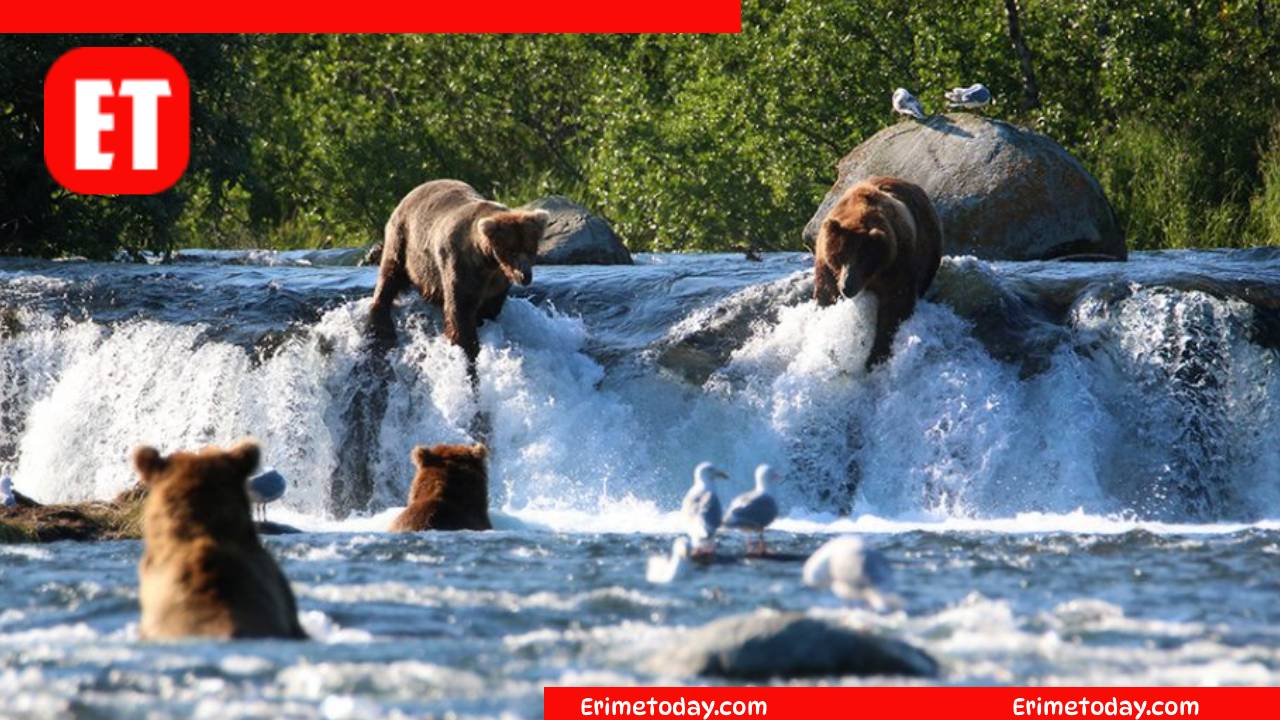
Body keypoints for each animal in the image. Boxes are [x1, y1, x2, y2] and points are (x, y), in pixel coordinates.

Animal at [370, 179, 548, 369]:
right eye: (511, 251)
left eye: (530, 249)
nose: (525, 275)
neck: (489, 261)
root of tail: (413, 191)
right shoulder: (462, 265)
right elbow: (460, 310)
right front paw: (468, 349)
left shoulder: (497, 280)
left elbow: (491, 306)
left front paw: (483, 321)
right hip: (404, 238)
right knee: (391, 273)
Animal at [813, 175, 943, 370]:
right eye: (840, 255)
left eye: (864, 260)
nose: (847, 286)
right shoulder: (827, 265)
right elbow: (827, 296)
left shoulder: (898, 263)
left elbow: (896, 305)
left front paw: (875, 357)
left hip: (929, 249)